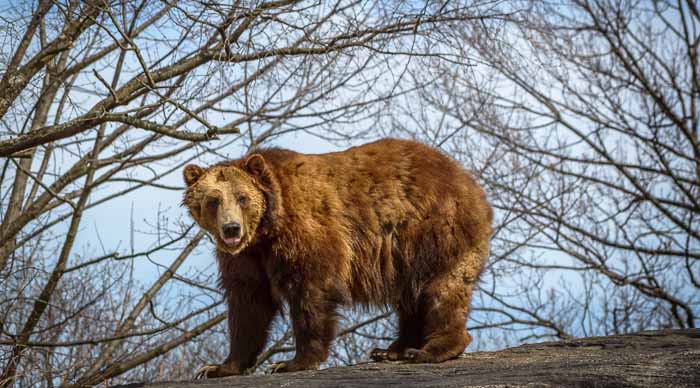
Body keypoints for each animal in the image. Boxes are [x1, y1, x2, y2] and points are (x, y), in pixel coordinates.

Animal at [183, 138, 494, 378]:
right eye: (213, 200)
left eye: (243, 197)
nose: (231, 228)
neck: (268, 227)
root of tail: (469, 181)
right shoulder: (248, 258)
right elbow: (248, 303)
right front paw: (219, 367)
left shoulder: (306, 234)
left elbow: (311, 291)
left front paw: (293, 362)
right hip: (404, 256)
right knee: (409, 297)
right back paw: (392, 350)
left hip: (433, 231)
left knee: (441, 288)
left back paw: (431, 349)